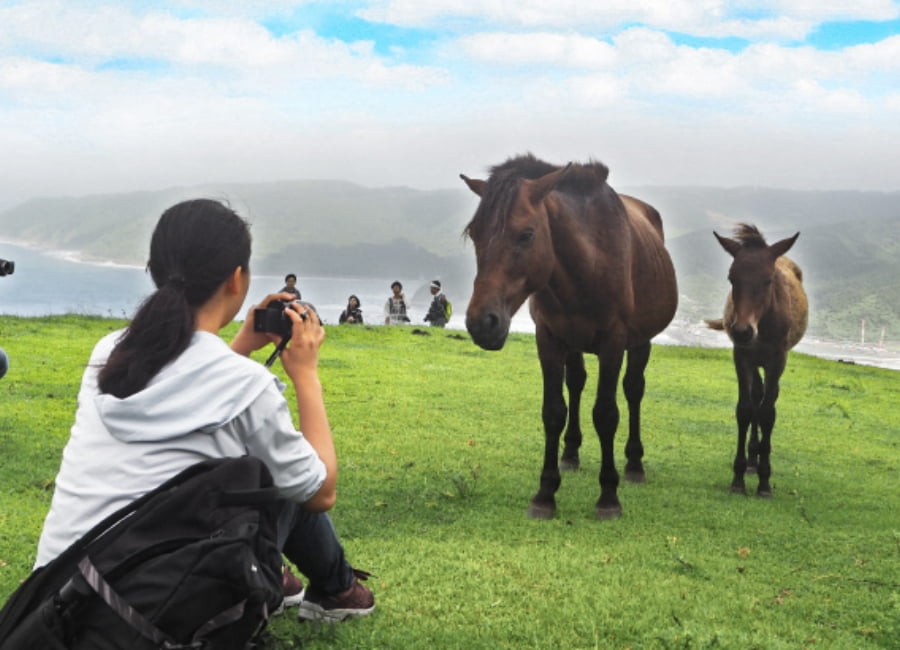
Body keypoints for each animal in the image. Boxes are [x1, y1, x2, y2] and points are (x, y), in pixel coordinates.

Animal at [460, 154, 680, 520]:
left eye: (526, 234)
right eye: (474, 233)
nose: (482, 322)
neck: (588, 264)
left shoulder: (613, 343)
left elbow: (606, 414)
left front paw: (608, 496)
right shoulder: (549, 340)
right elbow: (553, 412)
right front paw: (545, 494)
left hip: (640, 343)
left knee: (633, 390)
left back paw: (634, 464)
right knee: (576, 383)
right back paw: (570, 454)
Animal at [712, 223, 808, 496]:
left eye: (768, 280)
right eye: (732, 278)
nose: (742, 331)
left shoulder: (777, 359)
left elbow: (767, 413)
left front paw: (765, 482)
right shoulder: (742, 356)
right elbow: (745, 409)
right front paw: (738, 478)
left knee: (769, 398)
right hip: (755, 362)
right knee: (757, 395)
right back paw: (752, 460)